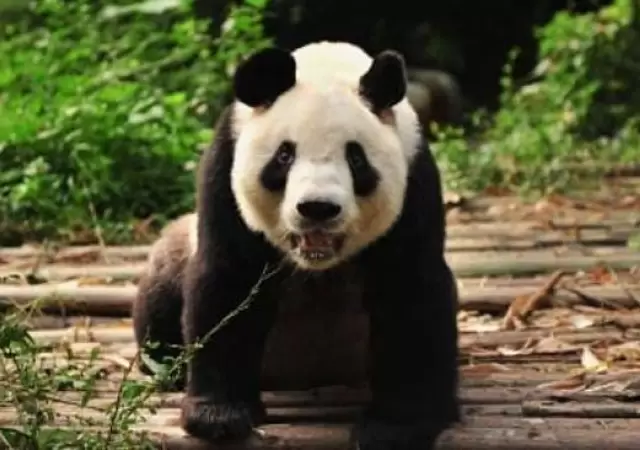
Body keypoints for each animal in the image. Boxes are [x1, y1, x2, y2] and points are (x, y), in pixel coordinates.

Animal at [132, 41, 460, 450]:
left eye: (356, 158)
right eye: (284, 156)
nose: (318, 208)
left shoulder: (414, 176)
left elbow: (410, 293)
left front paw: (395, 425)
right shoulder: (225, 170)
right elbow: (229, 279)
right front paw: (219, 415)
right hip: (177, 250)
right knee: (161, 284)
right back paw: (169, 366)